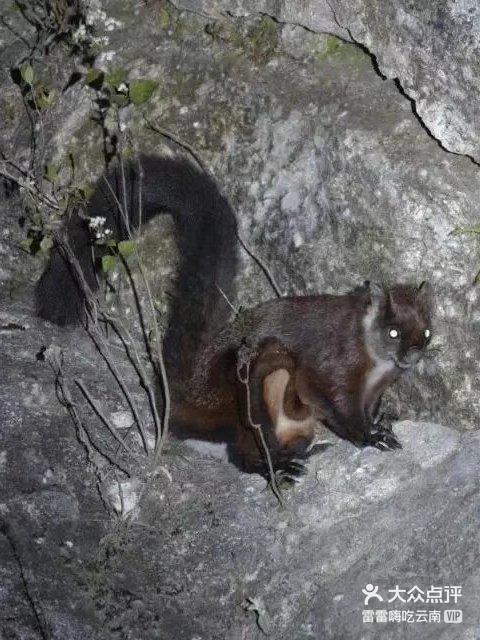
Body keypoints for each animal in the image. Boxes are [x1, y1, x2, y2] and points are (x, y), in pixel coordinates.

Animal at [36, 154, 436, 476]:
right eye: (393, 332)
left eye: (427, 333)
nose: (412, 355)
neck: (376, 364)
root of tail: (183, 391)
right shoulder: (329, 373)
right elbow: (340, 410)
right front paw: (372, 437)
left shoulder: (374, 390)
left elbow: (369, 408)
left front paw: (383, 421)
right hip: (255, 379)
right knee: (243, 451)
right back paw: (277, 468)